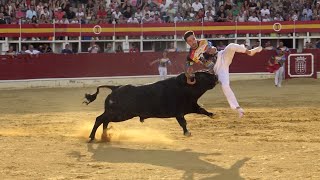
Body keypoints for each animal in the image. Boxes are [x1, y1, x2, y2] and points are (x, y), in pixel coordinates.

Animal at [84, 71, 219, 143]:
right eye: (202, 76)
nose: (216, 76)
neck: (185, 87)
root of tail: (115, 88)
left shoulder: (192, 106)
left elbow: (202, 110)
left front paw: (213, 115)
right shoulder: (179, 113)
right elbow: (183, 123)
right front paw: (187, 133)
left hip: (118, 114)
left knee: (105, 121)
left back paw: (105, 137)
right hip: (119, 114)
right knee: (100, 119)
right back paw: (92, 137)